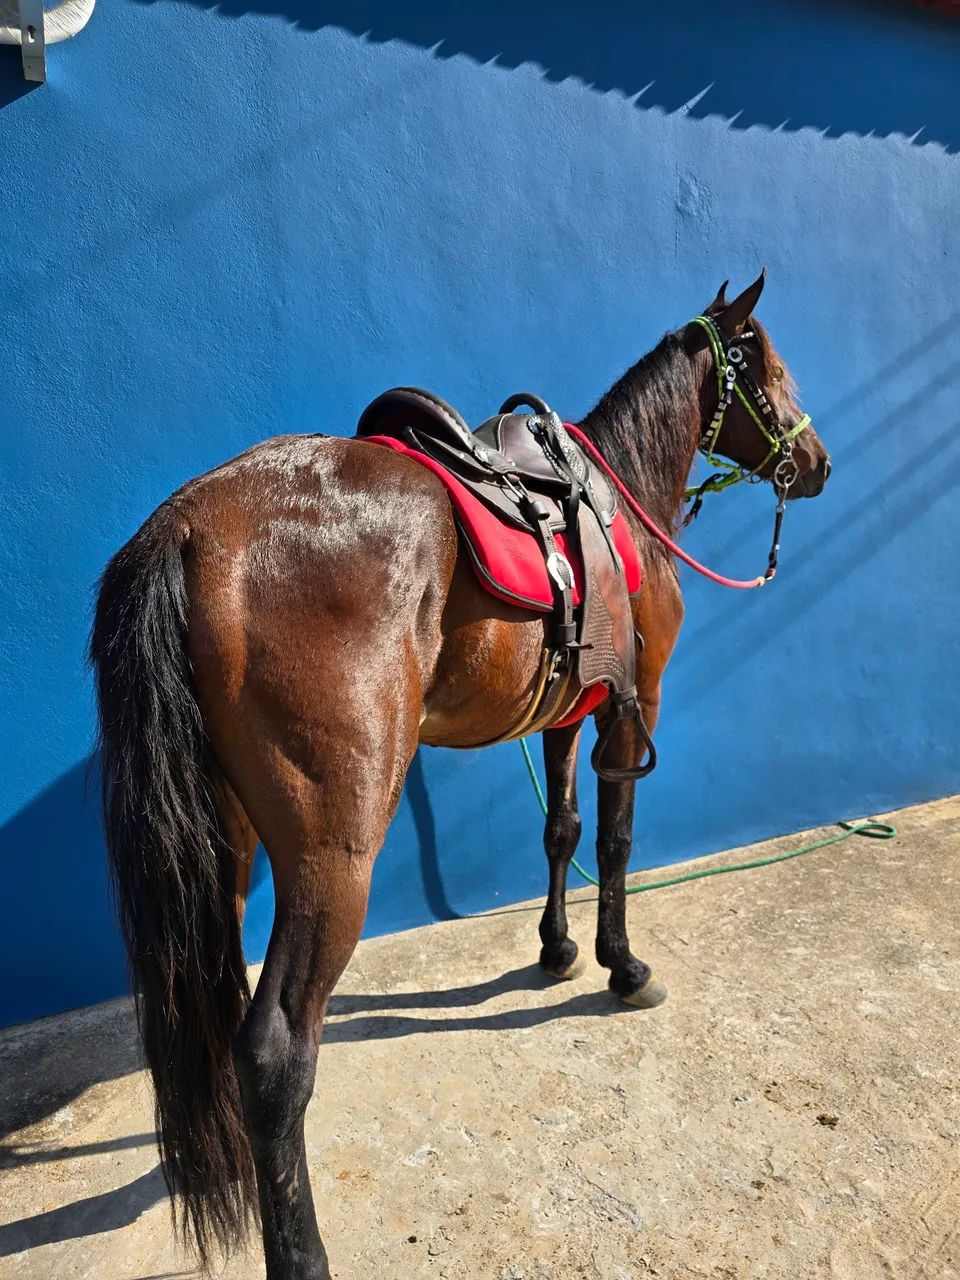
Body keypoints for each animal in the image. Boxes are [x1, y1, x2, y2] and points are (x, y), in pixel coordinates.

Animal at [90, 271, 830, 1279]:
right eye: (771, 366)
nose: (818, 462)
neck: (618, 497)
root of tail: (190, 529)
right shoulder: (630, 708)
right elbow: (615, 841)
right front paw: (622, 965)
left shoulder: (568, 712)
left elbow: (560, 832)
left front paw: (557, 950)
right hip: (332, 855)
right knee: (276, 1050)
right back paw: (303, 1252)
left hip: (225, 842)